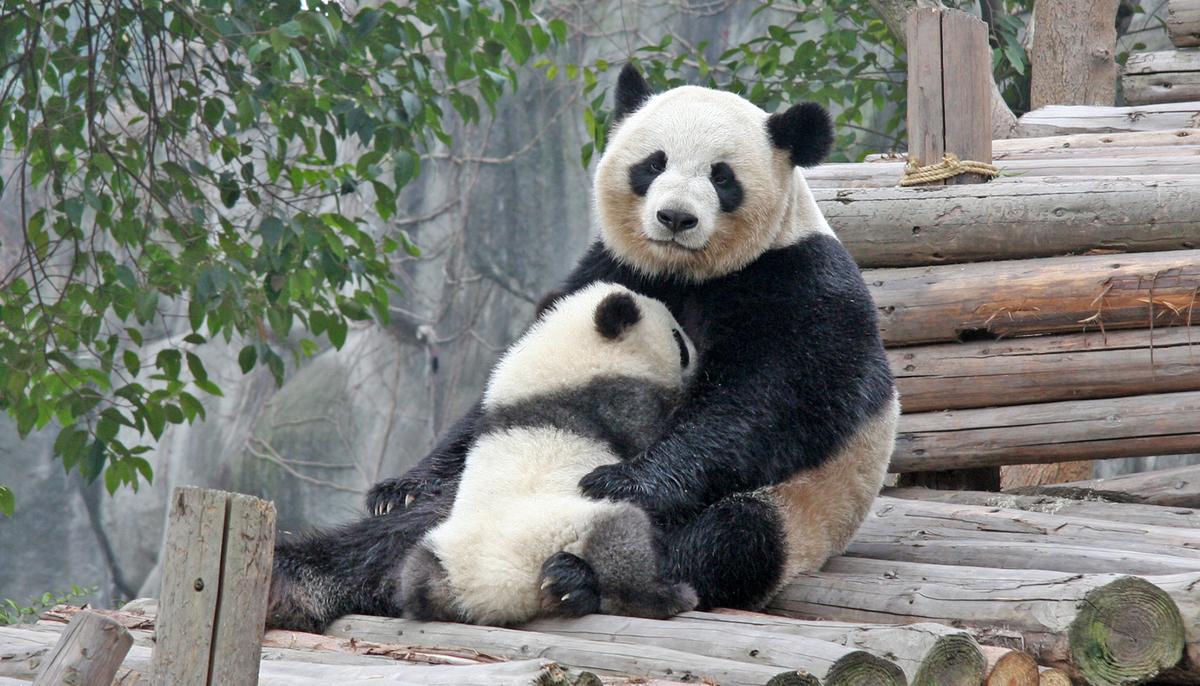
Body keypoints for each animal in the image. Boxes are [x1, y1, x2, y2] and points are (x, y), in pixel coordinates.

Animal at [399, 282, 698, 626]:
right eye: (677, 338)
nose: (697, 353)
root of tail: (498, 588)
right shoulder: (610, 396)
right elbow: (645, 426)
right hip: (565, 522)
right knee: (622, 536)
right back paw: (665, 596)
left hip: (448, 550)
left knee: (414, 574)